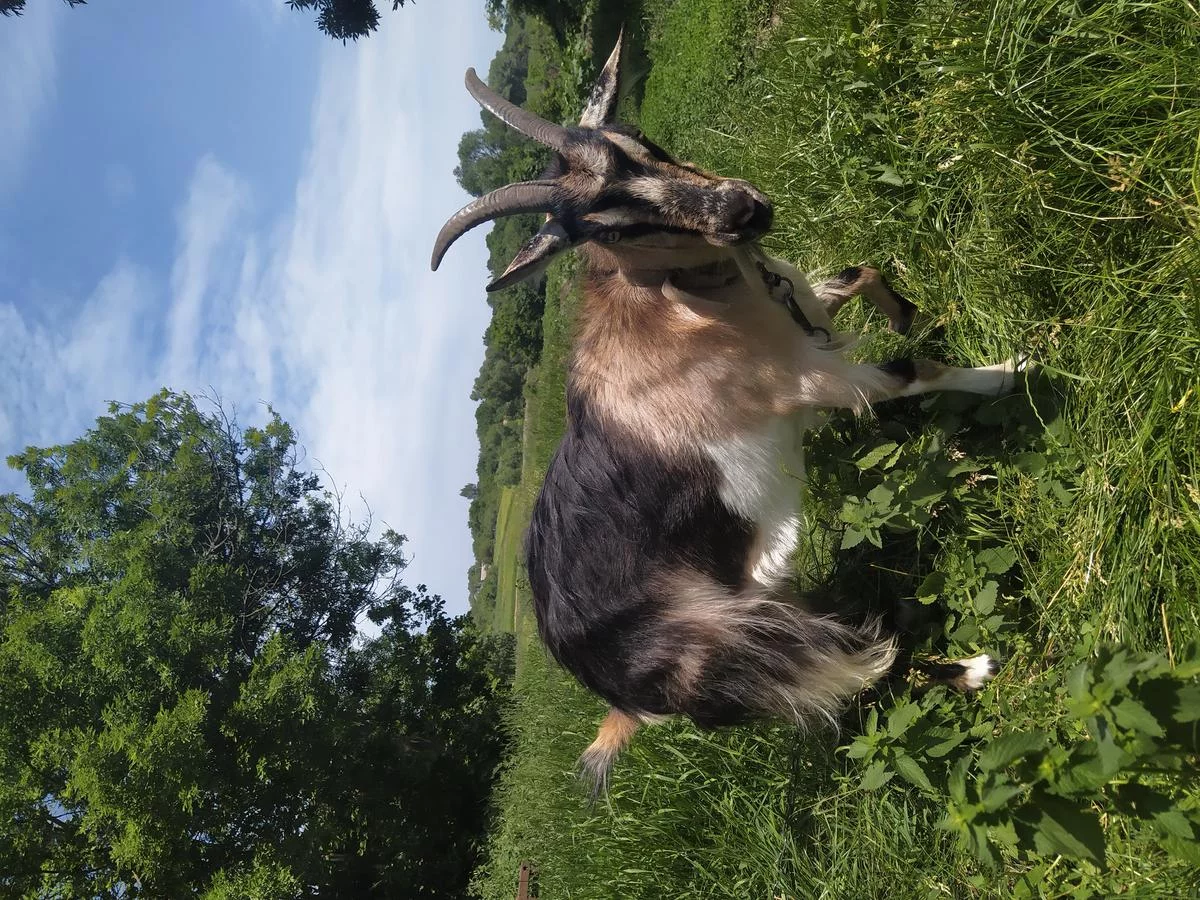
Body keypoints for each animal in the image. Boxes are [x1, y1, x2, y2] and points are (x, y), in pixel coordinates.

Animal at [432, 32, 1015, 792]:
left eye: (639, 141)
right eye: (608, 228)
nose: (744, 210)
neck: (686, 304)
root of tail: (618, 705)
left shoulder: (801, 317)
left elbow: (862, 272)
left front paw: (911, 313)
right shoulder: (810, 380)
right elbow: (915, 370)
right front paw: (1011, 373)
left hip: (762, 598)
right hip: (736, 645)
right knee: (857, 672)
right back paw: (970, 669)